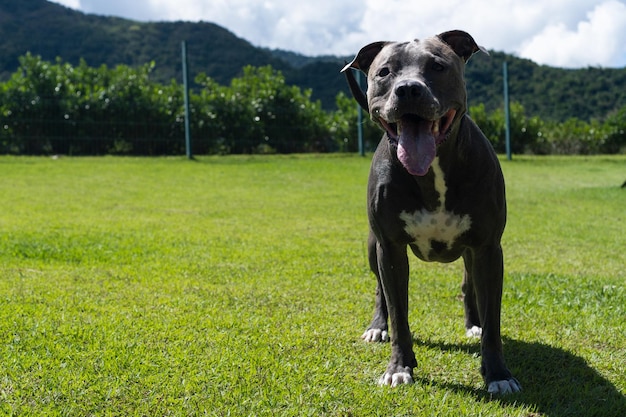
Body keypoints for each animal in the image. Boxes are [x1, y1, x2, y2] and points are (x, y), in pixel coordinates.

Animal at [338, 29, 520, 394]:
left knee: (469, 287)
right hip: (372, 248)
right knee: (380, 291)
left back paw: (473, 324)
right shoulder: (390, 248)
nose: (408, 89)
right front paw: (398, 367)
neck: (432, 170)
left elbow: (493, 318)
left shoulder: (488, 249)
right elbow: (398, 312)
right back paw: (377, 326)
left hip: (471, 254)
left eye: (437, 66)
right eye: (384, 72)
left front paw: (497, 373)